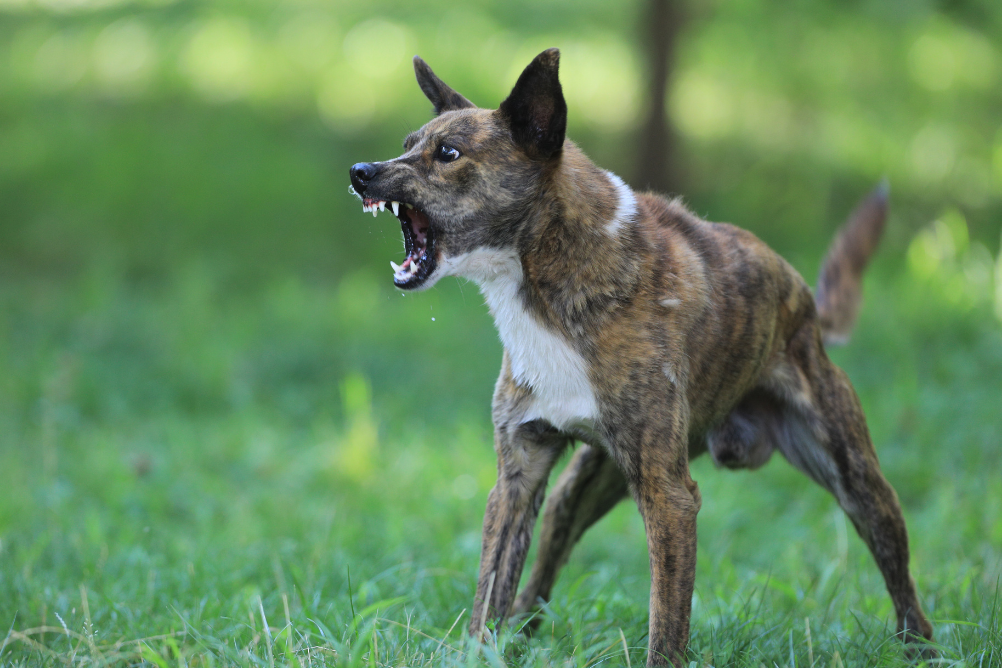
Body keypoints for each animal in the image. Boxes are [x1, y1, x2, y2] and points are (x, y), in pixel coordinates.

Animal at [348, 49, 933, 664]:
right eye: (409, 143)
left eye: (449, 154)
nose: (360, 172)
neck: (551, 277)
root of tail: (809, 309)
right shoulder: (518, 473)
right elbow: (491, 589)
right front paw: (481, 648)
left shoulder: (669, 497)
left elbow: (666, 620)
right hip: (581, 486)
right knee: (542, 569)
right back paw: (524, 630)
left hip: (857, 479)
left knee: (899, 573)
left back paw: (920, 647)